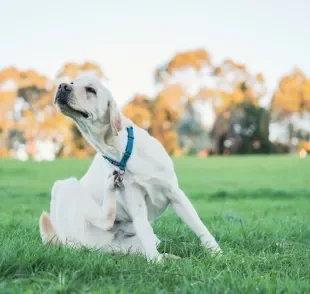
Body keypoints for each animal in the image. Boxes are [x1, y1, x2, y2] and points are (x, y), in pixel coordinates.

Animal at [40, 76, 222, 262]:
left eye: (91, 90)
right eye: (72, 82)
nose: (62, 86)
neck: (121, 153)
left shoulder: (176, 194)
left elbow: (200, 227)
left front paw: (217, 254)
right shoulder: (136, 203)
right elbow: (145, 231)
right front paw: (156, 263)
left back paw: (173, 257)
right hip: (66, 187)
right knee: (106, 220)